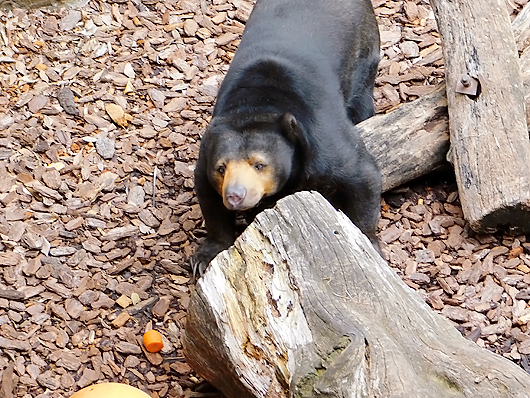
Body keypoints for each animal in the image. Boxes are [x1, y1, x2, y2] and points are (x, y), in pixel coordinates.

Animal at [190, 0, 380, 276]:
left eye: (259, 164)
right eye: (221, 168)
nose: (235, 196)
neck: (258, 104)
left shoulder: (321, 136)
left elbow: (362, 175)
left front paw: (369, 243)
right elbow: (209, 198)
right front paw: (206, 257)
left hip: (365, 56)